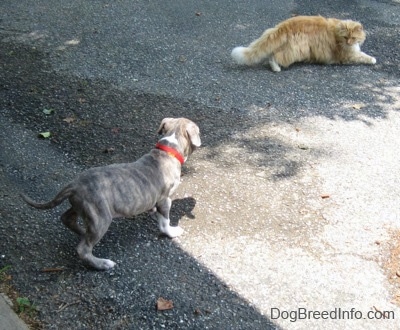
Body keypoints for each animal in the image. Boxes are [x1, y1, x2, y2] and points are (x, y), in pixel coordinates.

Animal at [21, 117, 200, 270]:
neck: (169, 148)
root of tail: (74, 185)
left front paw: (153, 212)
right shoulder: (165, 198)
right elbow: (164, 221)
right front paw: (171, 232)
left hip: (83, 207)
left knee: (68, 219)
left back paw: (82, 232)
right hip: (100, 216)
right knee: (83, 249)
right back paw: (102, 263)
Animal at [231, 15, 376, 71]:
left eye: (353, 37)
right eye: (346, 37)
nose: (349, 43)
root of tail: (285, 24)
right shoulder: (348, 55)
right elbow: (363, 56)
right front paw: (373, 59)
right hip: (297, 50)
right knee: (275, 57)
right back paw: (276, 68)